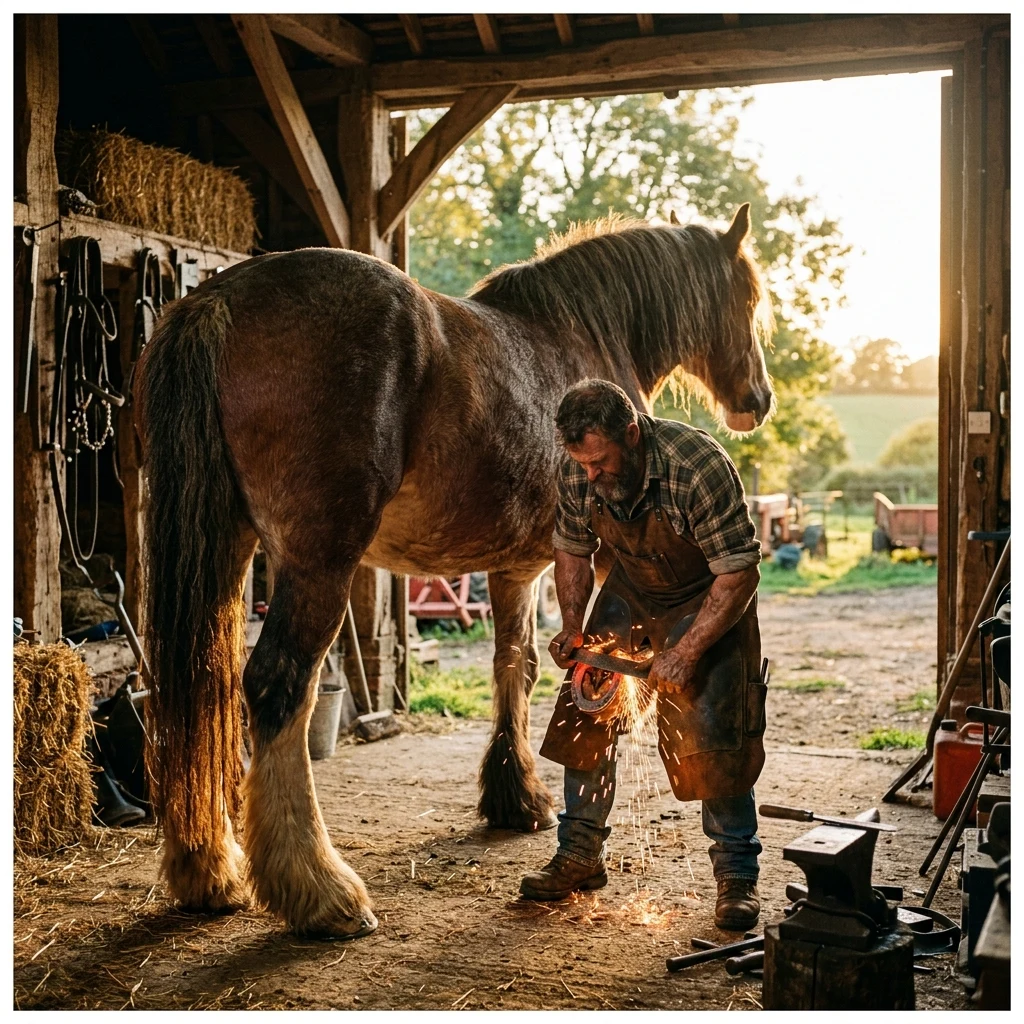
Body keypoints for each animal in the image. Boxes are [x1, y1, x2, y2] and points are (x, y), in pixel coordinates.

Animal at [135, 202, 775, 938]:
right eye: (748, 299)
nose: (758, 399)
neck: (581, 331)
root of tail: (220, 298)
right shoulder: (597, 555)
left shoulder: (516, 568)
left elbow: (514, 663)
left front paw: (512, 797)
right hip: (316, 561)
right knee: (276, 687)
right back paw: (323, 891)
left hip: (225, 549)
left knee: (202, 682)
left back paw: (209, 872)